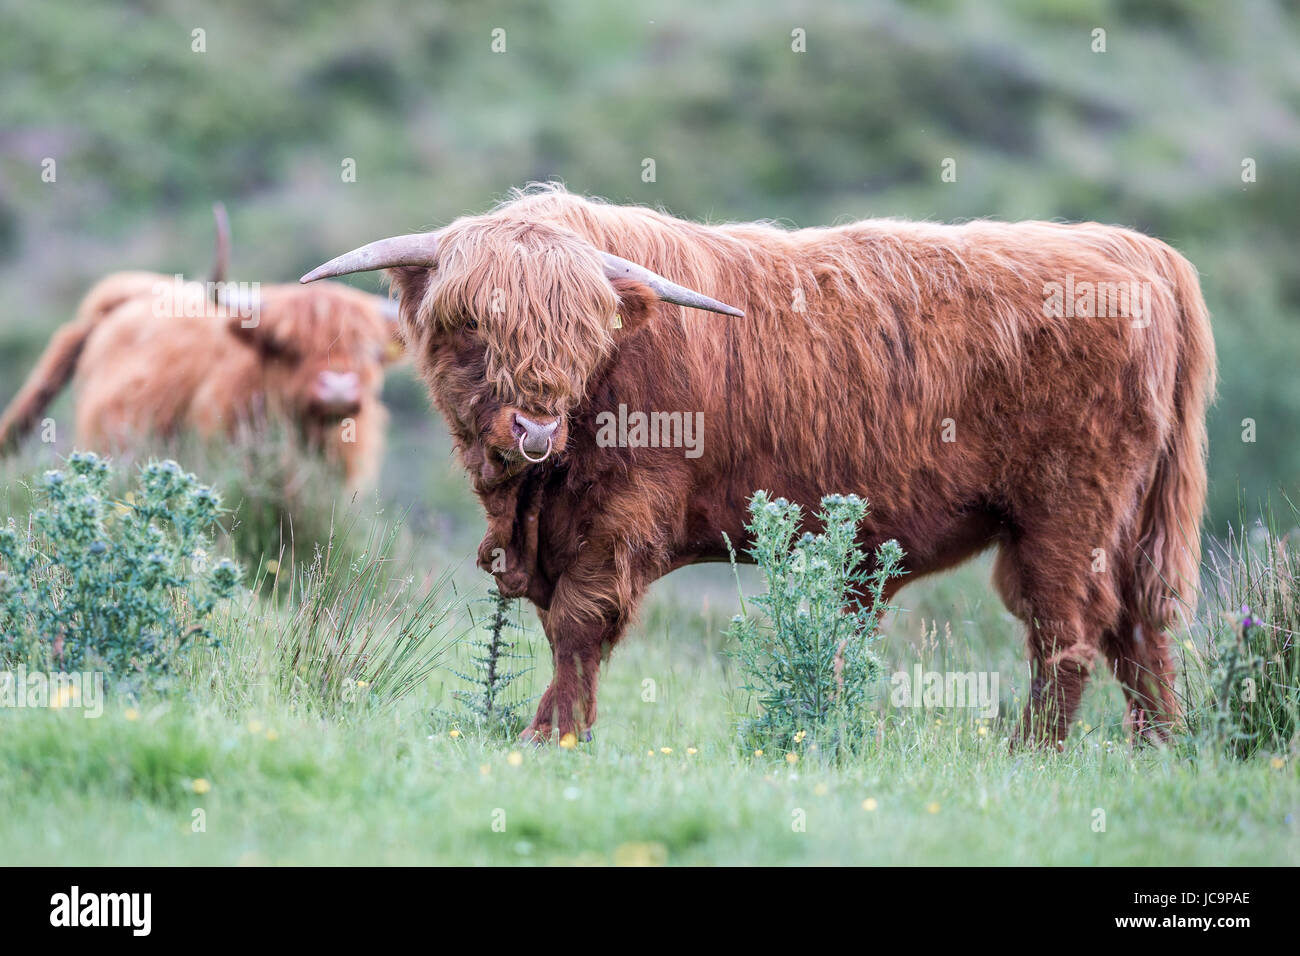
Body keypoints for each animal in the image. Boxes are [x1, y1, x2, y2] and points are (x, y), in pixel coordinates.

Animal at [304, 184, 1216, 749]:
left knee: (1069, 633)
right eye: (473, 324)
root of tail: (1136, 251)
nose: (534, 423)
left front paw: (550, 736)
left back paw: (1026, 756)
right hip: (1123, 521)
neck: (535, 492)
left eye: (582, 332)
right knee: (1140, 630)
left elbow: (577, 625)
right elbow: (564, 630)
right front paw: (561, 730)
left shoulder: (619, 518)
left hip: (1067, 511)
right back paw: (1159, 749)